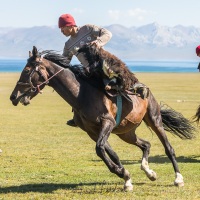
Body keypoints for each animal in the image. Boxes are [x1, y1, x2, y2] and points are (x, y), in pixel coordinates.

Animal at [9, 45, 195, 191]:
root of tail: (146, 91)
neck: (81, 95)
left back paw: (178, 179)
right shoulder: (92, 131)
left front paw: (123, 173)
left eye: (26, 71)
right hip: (126, 133)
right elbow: (109, 152)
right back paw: (150, 173)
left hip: (154, 120)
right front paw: (126, 177)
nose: (13, 97)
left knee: (168, 148)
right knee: (146, 144)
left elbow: (100, 149)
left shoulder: (107, 123)